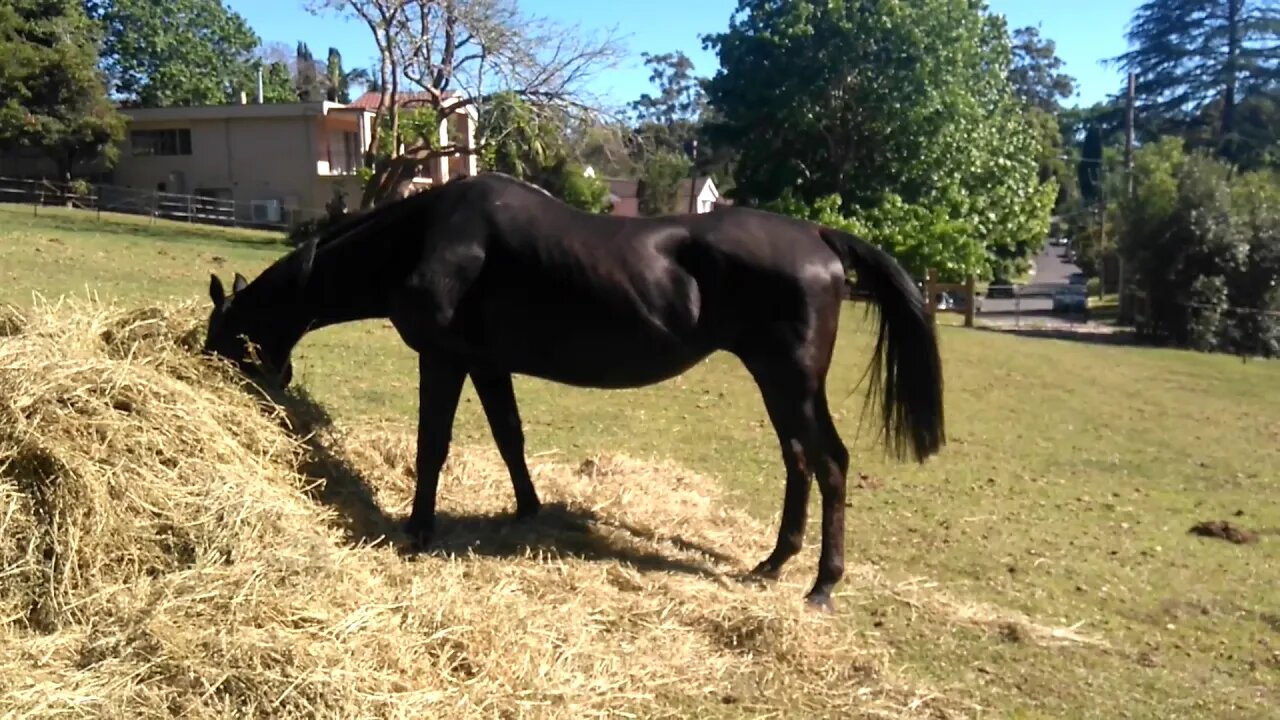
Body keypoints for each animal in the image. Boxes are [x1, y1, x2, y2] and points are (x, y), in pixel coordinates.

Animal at [199, 170, 942, 607]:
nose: (219, 383)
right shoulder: (486, 363)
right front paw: (528, 509)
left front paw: (417, 529)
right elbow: (510, 437)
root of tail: (819, 235)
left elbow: (433, 444)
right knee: (800, 462)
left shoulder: (442, 358)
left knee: (831, 464)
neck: (422, 237)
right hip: (778, 380)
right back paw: (774, 562)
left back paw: (821, 584)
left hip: (790, 378)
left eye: (221, 339)